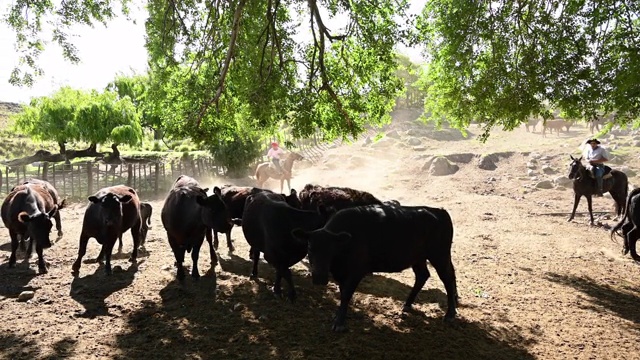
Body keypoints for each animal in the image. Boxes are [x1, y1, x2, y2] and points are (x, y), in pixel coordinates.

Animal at [292, 204, 458, 334]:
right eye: (310, 248)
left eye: (332, 250)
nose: (319, 278)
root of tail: (439, 211)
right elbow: (342, 292)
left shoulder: (356, 271)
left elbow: (346, 294)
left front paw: (339, 323)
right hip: (418, 258)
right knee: (423, 275)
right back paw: (407, 304)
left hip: (440, 254)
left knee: (448, 277)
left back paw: (450, 313)